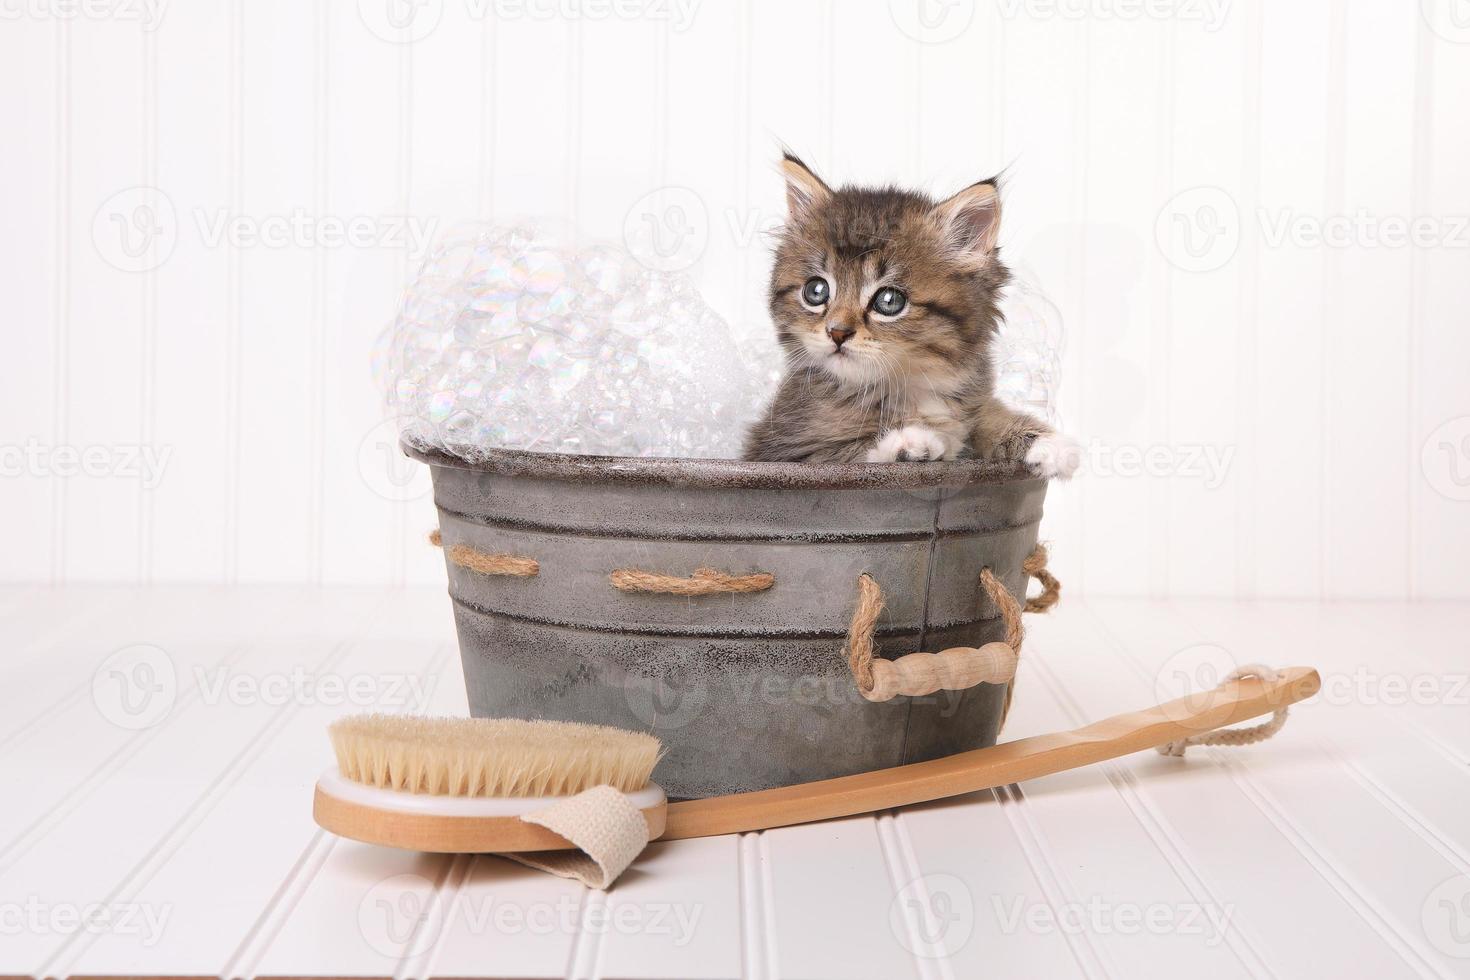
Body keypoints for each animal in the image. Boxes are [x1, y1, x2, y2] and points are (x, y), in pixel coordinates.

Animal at [746, 153, 1081, 478]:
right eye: (816, 291)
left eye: (889, 300)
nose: (837, 332)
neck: (911, 386)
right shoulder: (781, 449)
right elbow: (844, 451)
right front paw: (908, 442)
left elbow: (984, 416)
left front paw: (1043, 442)